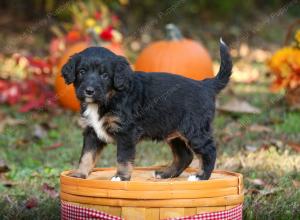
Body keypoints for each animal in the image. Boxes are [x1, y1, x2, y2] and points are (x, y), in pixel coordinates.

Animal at [62, 39, 233, 180]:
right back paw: (165, 174)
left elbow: (123, 158)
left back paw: (201, 176)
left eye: (104, 75)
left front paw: (121, 177)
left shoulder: (126, 133)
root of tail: (205, 85)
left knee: (209, 151)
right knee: (185, 156)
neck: (109, 98)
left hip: (195, 130)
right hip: (174, 133)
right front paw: (79, 175)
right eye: (82, 72)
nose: (89, 91)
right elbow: (86, 156)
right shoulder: (92, 131)